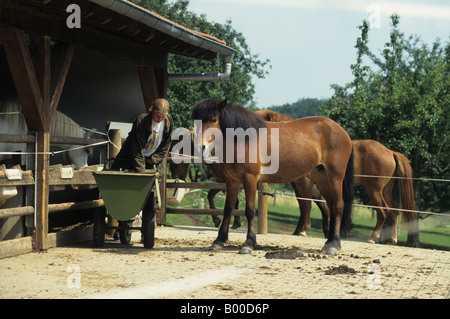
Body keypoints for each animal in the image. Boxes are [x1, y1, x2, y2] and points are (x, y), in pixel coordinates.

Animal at [192, 99, 354, 255]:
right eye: (195, 120)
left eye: (213, 119)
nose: (201, 147)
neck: (244, 140)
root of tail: (341, 131)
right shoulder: (232, 181)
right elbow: (228, 209)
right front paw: (219, 241)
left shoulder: (250, 179)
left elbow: (250, 211)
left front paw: (248, 243)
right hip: (322, 178)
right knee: (330, 207)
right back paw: (329, 242)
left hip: (335, 177)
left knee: (338, 206)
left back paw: (333, 245)